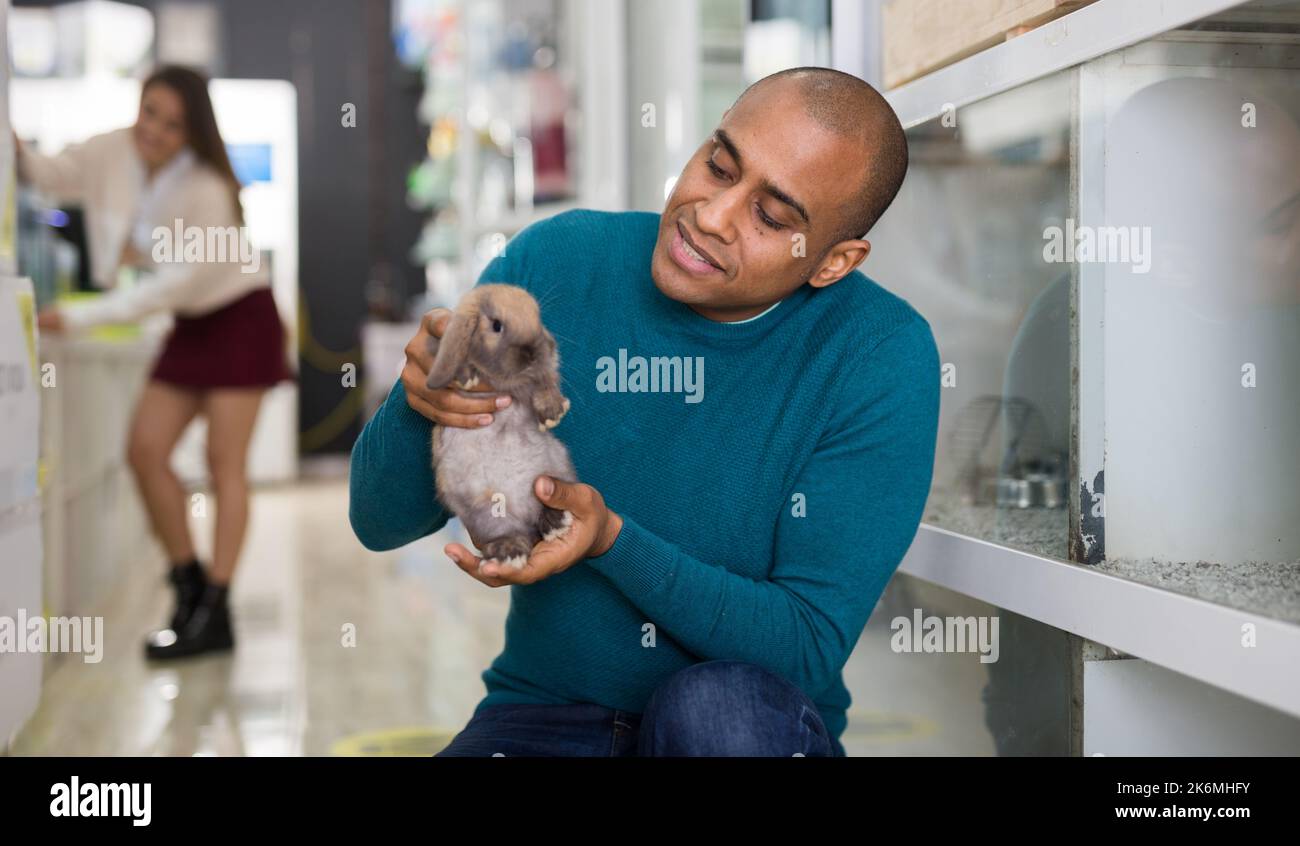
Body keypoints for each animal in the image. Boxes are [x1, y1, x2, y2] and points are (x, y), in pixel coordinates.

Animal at [425, 283, 577, 571]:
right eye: (496, 325)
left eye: (538, 317)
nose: (535, 352)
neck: (503, 381)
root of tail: (524, 515)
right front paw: (467, 374)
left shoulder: (537, 378)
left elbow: (544, 382)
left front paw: (553, 412)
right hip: (487, 512)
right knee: (509, 533)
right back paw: (510, 552)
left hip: (554, 473)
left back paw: (555, 522)